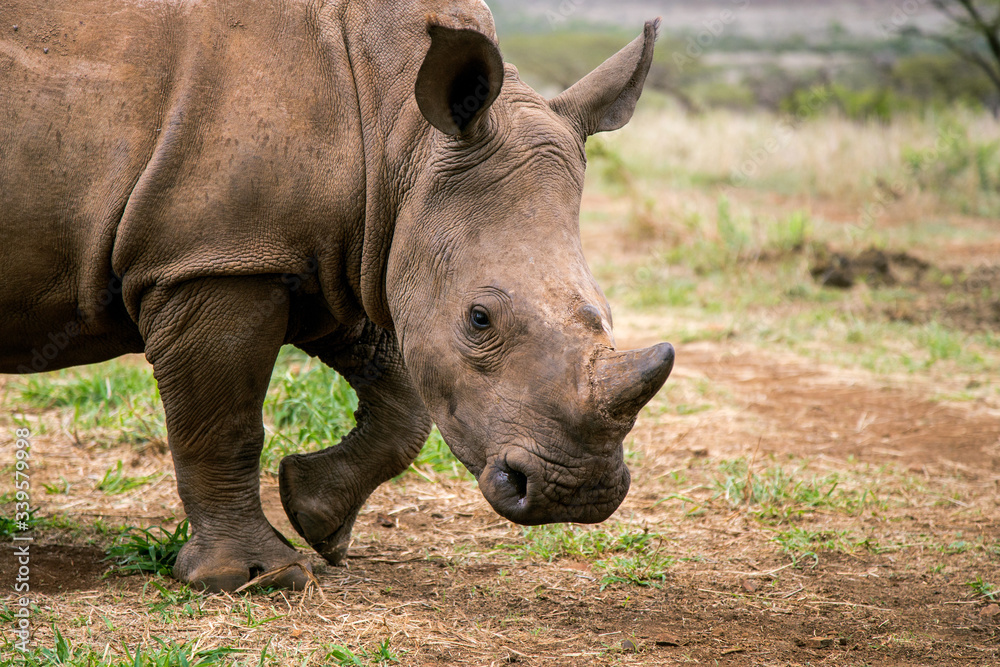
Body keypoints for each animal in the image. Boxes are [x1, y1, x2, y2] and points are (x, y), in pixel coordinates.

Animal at [0, 0, 674, 592]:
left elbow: (405, 404)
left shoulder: (348, 251)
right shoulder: (212, 258)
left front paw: (316, 516)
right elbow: (224, 421)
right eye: (480, 318)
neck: (399, 131)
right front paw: (253, 578)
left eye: (606, 315)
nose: (576, 494)